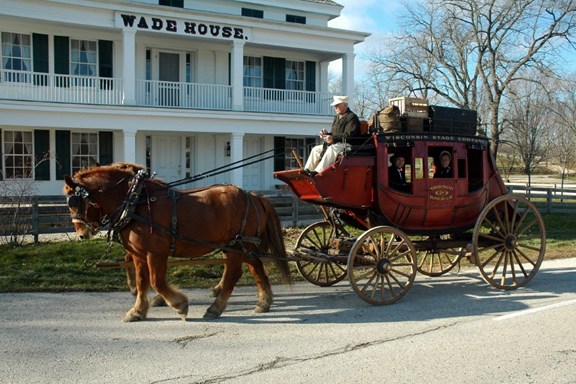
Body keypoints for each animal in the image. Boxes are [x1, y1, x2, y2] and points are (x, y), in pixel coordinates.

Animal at [64, 163, 292, 320]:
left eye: (73, 201)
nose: (81, 233)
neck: (136, 202)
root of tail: (253, 196)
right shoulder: (139, 254)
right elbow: (142, 282)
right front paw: (137, 311)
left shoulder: (156, 253)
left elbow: (156, 281)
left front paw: (179, 304)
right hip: (242, 245)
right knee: (256, 267)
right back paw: (264, 302)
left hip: (236, 245)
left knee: (233, 274)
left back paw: (216, 307)